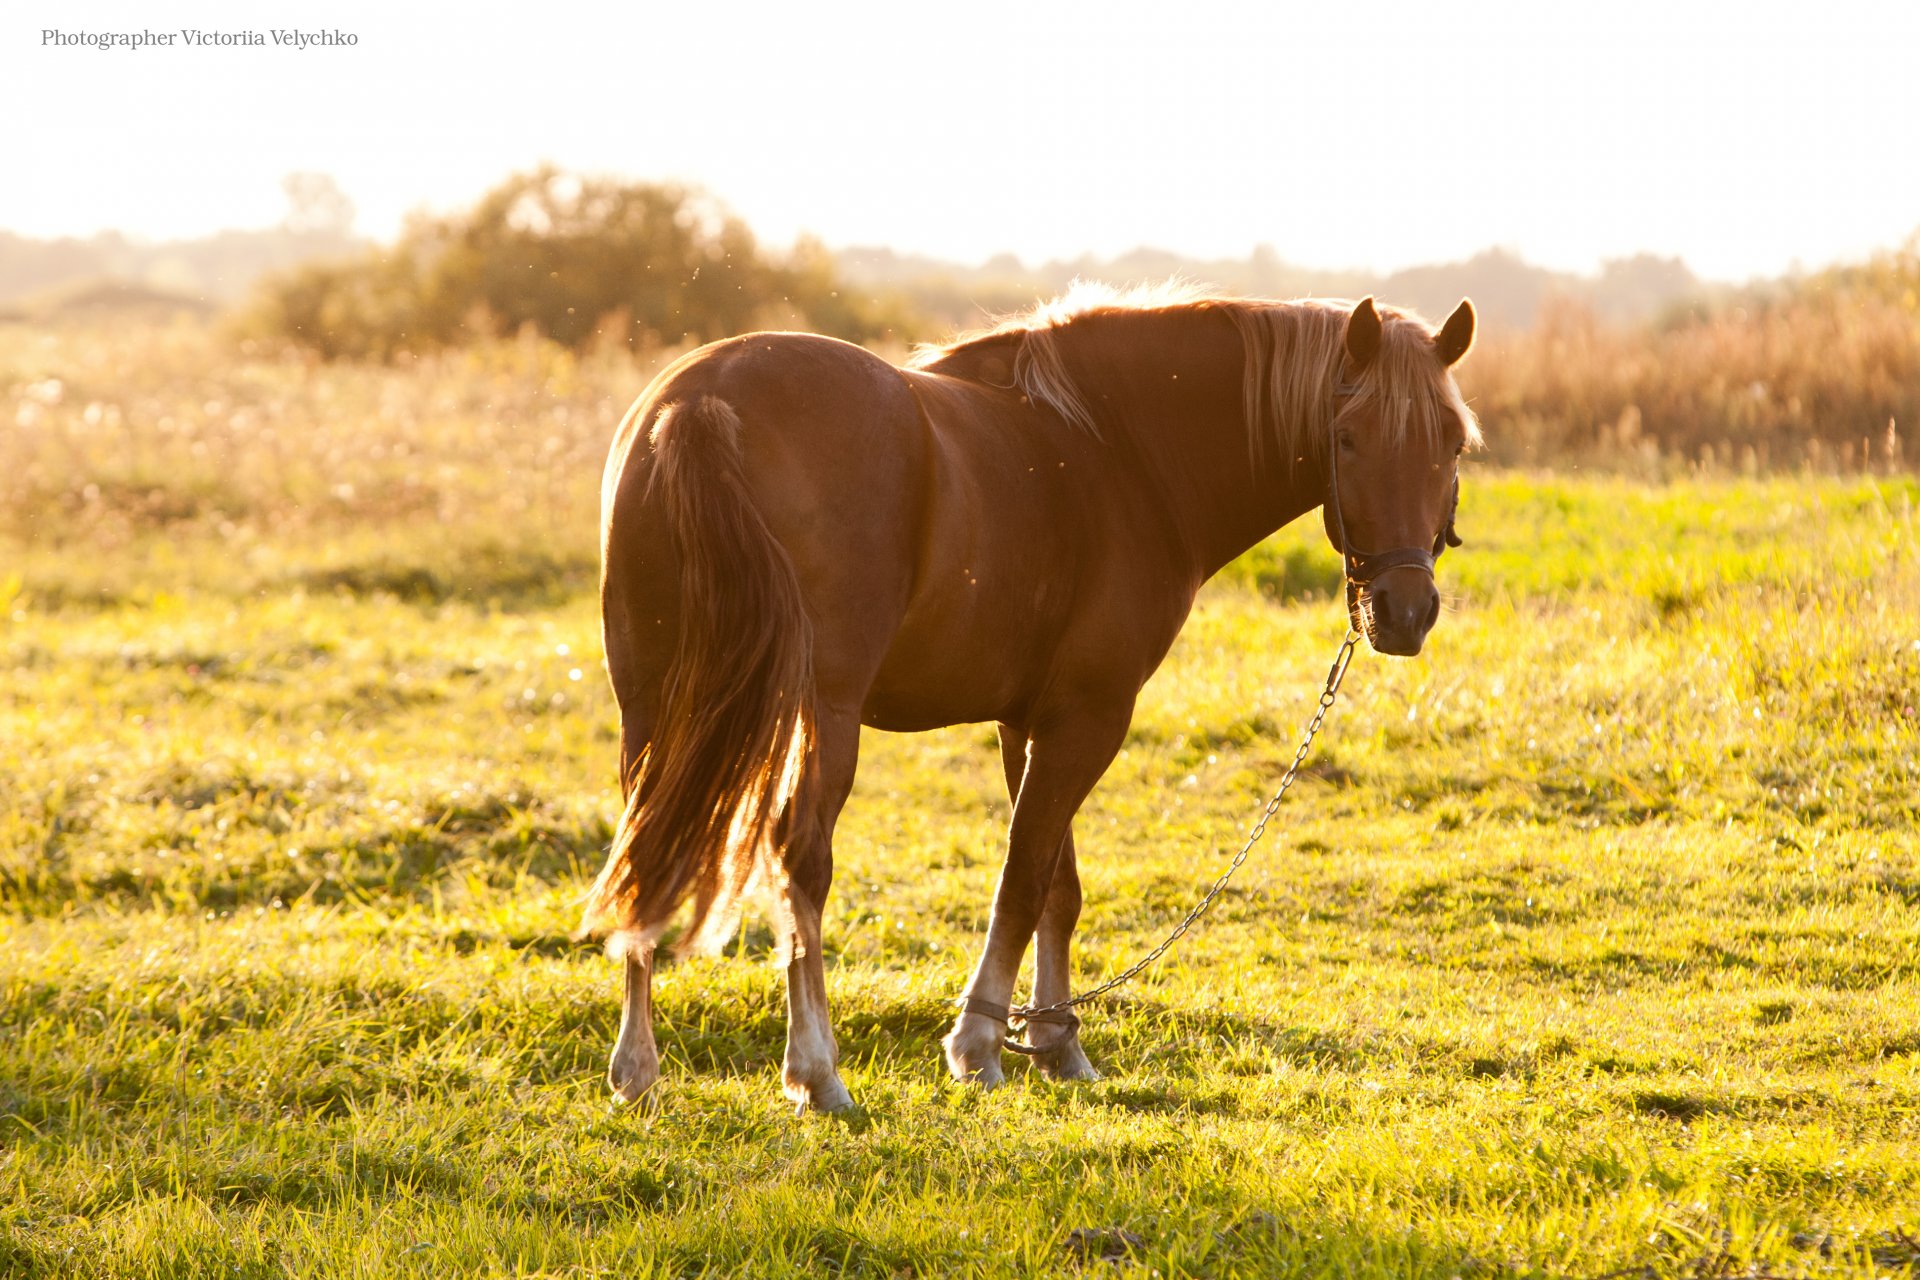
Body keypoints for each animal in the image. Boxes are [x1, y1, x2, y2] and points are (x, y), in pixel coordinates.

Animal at [580, 285, 1480, 1112]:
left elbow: (1057, 886)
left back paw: (637, 1068)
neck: (1119, 454)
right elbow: (1022, 875)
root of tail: (699, 404)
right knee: (800, 861)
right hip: (819, 712)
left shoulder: (1029, 721)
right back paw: (816, 1071)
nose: (1404, 612)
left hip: (651, 706)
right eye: (1347, 438)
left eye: (1451, 442)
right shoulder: (1090, 717)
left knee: (646, 846)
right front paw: (980, 1044)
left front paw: (1055, 1042)